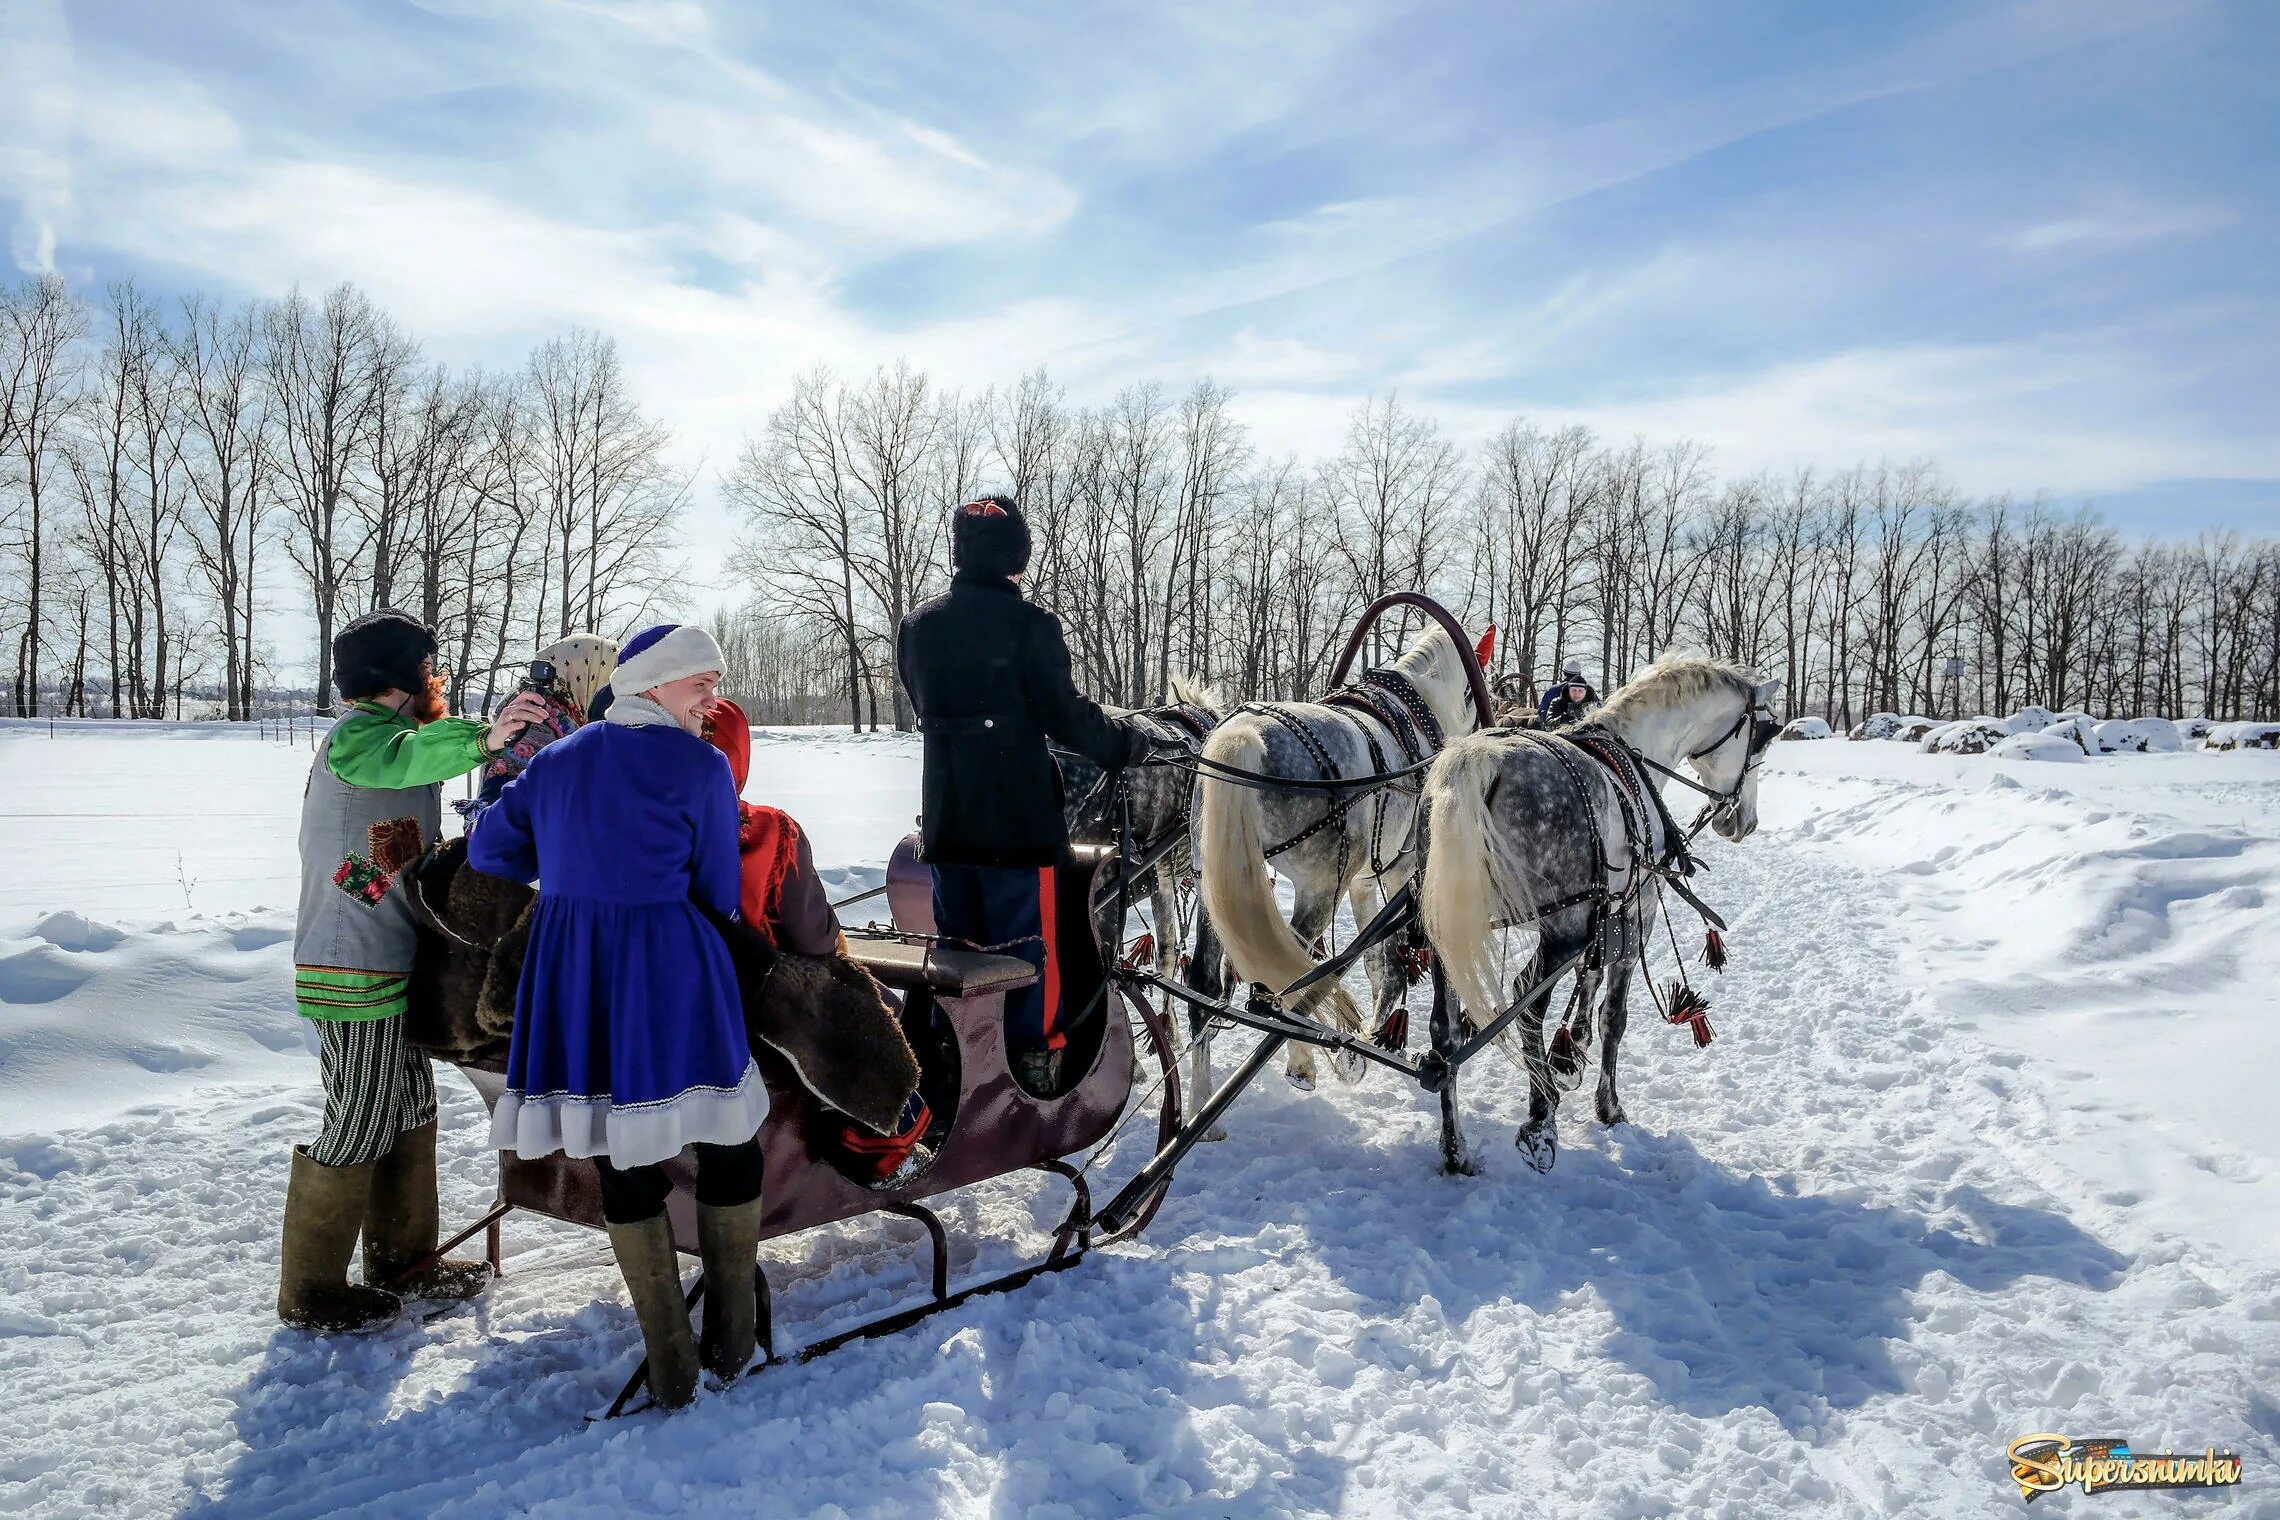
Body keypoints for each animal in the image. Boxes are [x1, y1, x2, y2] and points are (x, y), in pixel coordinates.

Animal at [1185, 624, 1486, 1098]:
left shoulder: (1363, 881)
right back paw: (1303, 1064)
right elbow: (1386, 960)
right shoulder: (1397, 871)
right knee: (1282, 987)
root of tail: (1245, 736)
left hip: (1211, 886)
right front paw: (1371, 1040)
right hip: (1320, 888)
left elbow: (1379, 963)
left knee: (1204, 985)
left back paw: (1199, 1102)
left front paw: (1376, 1035)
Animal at [1422, 656, 1778, 1175]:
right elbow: (1615, 1016)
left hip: (1446, 931)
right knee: (1527, 1000)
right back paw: (1540, 1118)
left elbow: (1588, 981)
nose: (1742, 822)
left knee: (1445, 1034)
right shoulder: (1635, 913)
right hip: (1560, 930)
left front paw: (1569, 1055)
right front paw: (1607, 1104)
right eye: (1764, 735)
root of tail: (1477, 762)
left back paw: (1456, 1149)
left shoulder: (1600, 915)